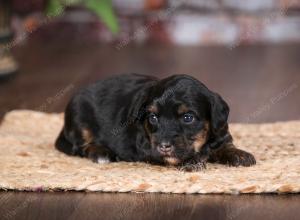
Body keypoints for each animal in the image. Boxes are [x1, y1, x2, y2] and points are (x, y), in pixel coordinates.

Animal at [54, 73, 255, 171]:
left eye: (188, 118)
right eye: (153, 117)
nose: (164, 146)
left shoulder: (220, 132)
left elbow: (224, 144)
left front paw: (239, 154)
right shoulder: (146, 146)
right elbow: (173, 158)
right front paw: (191, 161)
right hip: (79, 114)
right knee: (81, 146)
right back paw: (100, 152)